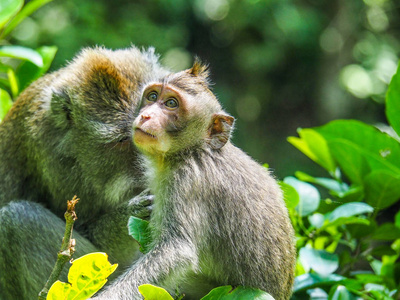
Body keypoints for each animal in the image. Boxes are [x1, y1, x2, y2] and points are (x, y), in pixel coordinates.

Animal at [93, 59, 294, 300]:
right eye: (152, 97)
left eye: (171, 103)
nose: (146, 115)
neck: (193, 150)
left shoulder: (187, 182)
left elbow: (175, 252)